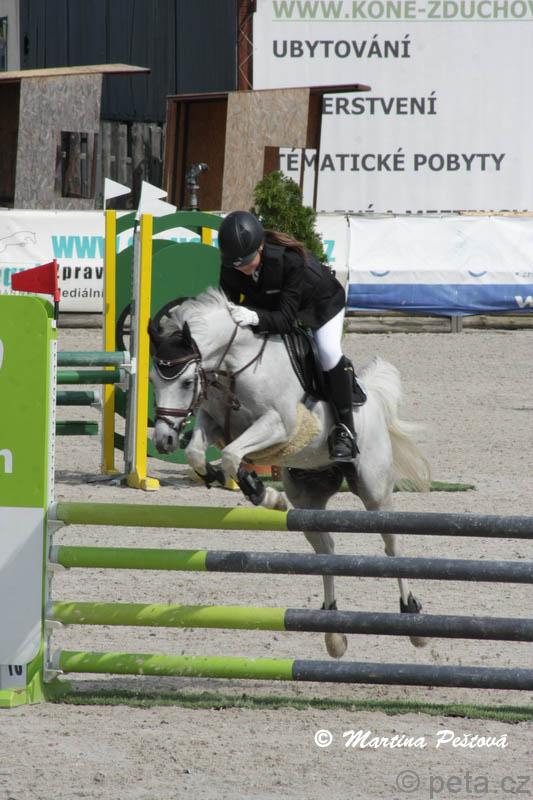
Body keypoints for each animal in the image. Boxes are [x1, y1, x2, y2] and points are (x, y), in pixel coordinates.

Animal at [149, 287, 431, 658]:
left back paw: (412, 616)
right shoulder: (215, 422)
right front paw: (229, 480)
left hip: (374, 488)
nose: (164, 440)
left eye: (186, 381)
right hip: (307, 495)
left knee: (392, 545)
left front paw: (261, 492)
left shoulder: (280, 425)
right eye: (151, 380)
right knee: (326, 550)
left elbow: (231, 453)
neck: (235, 365)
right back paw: (333, 630)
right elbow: (201, 452)